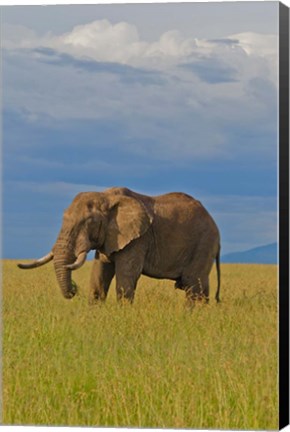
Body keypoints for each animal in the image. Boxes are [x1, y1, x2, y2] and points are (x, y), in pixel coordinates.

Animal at [18, 187, 221, 306]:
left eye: (88, 222)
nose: (74, 290)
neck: (106, 197)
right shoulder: (110, 237)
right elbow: (99, 274)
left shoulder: (138, 238)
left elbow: (126, 276)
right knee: (201, 287)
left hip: (203, 244)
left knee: (192, 285)